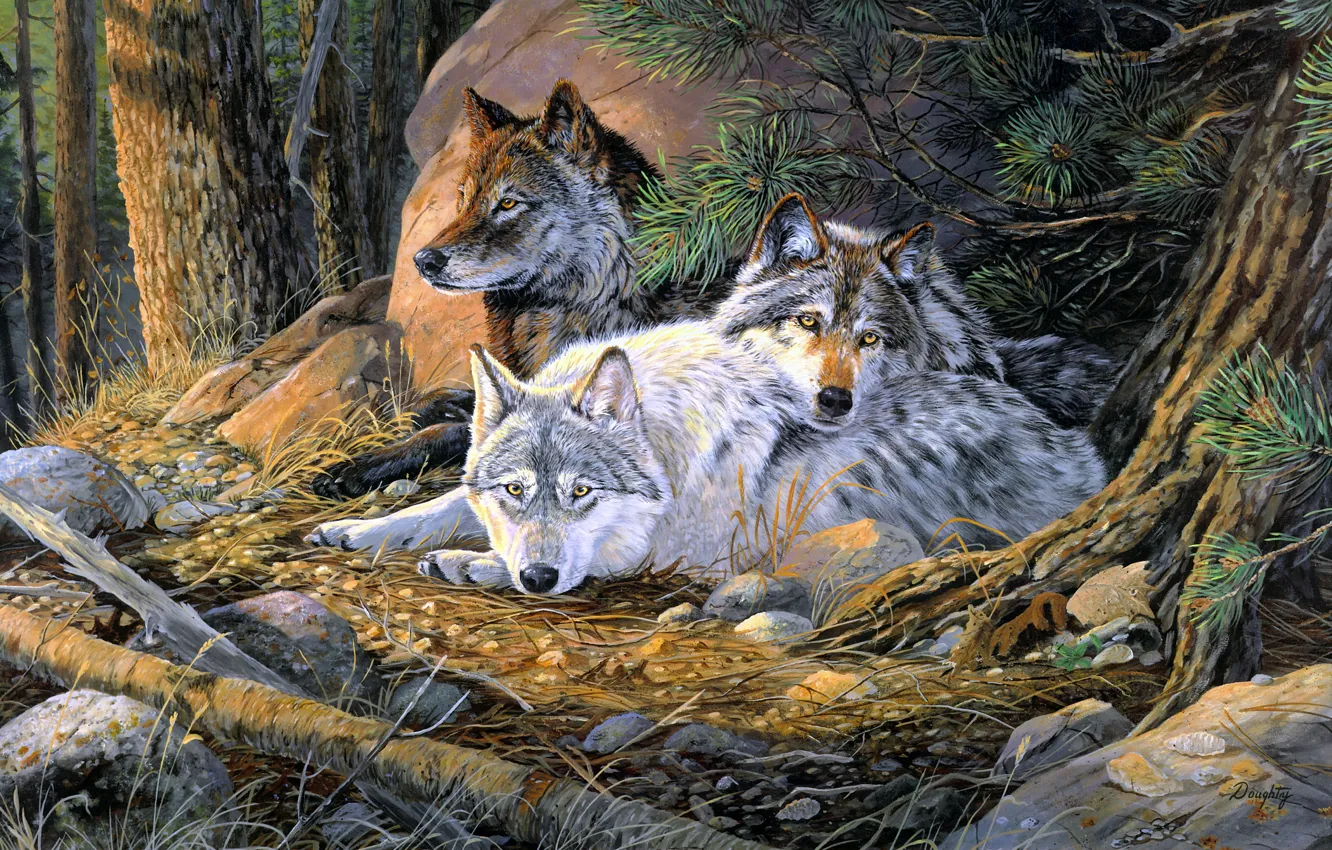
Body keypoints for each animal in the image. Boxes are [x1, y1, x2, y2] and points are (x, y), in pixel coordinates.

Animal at [307, 321, 1106, 595]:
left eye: (582, 493)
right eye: (513, 489)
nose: (535, 579)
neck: (672, 446)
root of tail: (1087, 454)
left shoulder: (689, 555)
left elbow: (597, 559)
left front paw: (472, 565)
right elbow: (440, 504)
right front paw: (356, 530)